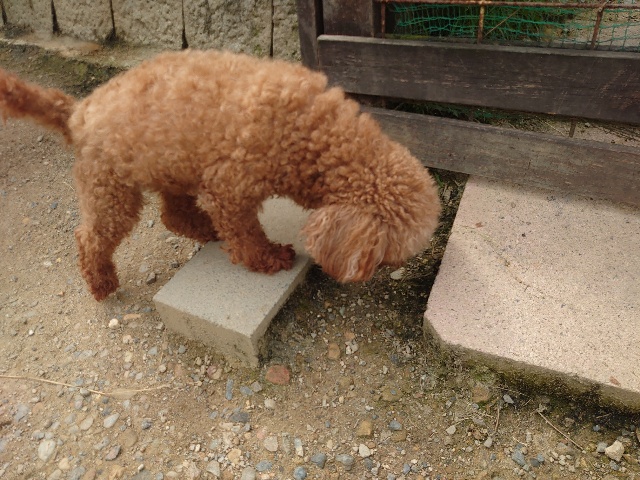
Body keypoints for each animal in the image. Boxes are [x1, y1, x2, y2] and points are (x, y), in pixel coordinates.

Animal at [0, 49, 441, 301]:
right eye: (386, 257)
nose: (372, 277)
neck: (313, 134)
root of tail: (78, 112)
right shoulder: (229, 187)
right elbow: (246, 234)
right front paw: (270, 258)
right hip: (111, 188)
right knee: (91, 237)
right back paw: (101, 283)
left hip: (172, 165)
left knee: (173, 215)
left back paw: (204, 230)